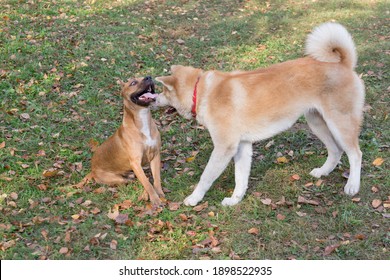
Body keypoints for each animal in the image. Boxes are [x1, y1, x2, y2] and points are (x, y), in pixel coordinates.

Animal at [75, 76, 165, 206]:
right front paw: (155, 199)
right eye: (133, 83)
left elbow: (156, 178)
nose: (149, 77)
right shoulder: (135, 162)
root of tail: (92, 171)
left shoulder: (155, 155)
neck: (142, 119)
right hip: (117, 178)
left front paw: (159, 193)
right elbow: (147, 183)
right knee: (132, 181)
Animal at [155, 23, 366, 207]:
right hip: (317, 123)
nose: (154, 98)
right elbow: (240, 179)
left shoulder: (224, 148)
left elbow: (206, 177)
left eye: (164, 91)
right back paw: (323, 172)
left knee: (355, 154)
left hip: (340, 124)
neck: (201, 91)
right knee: (336, 151)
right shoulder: (242, 146)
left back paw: (352, 185)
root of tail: (344, 64)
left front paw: (194, 198)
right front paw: (235, 200)